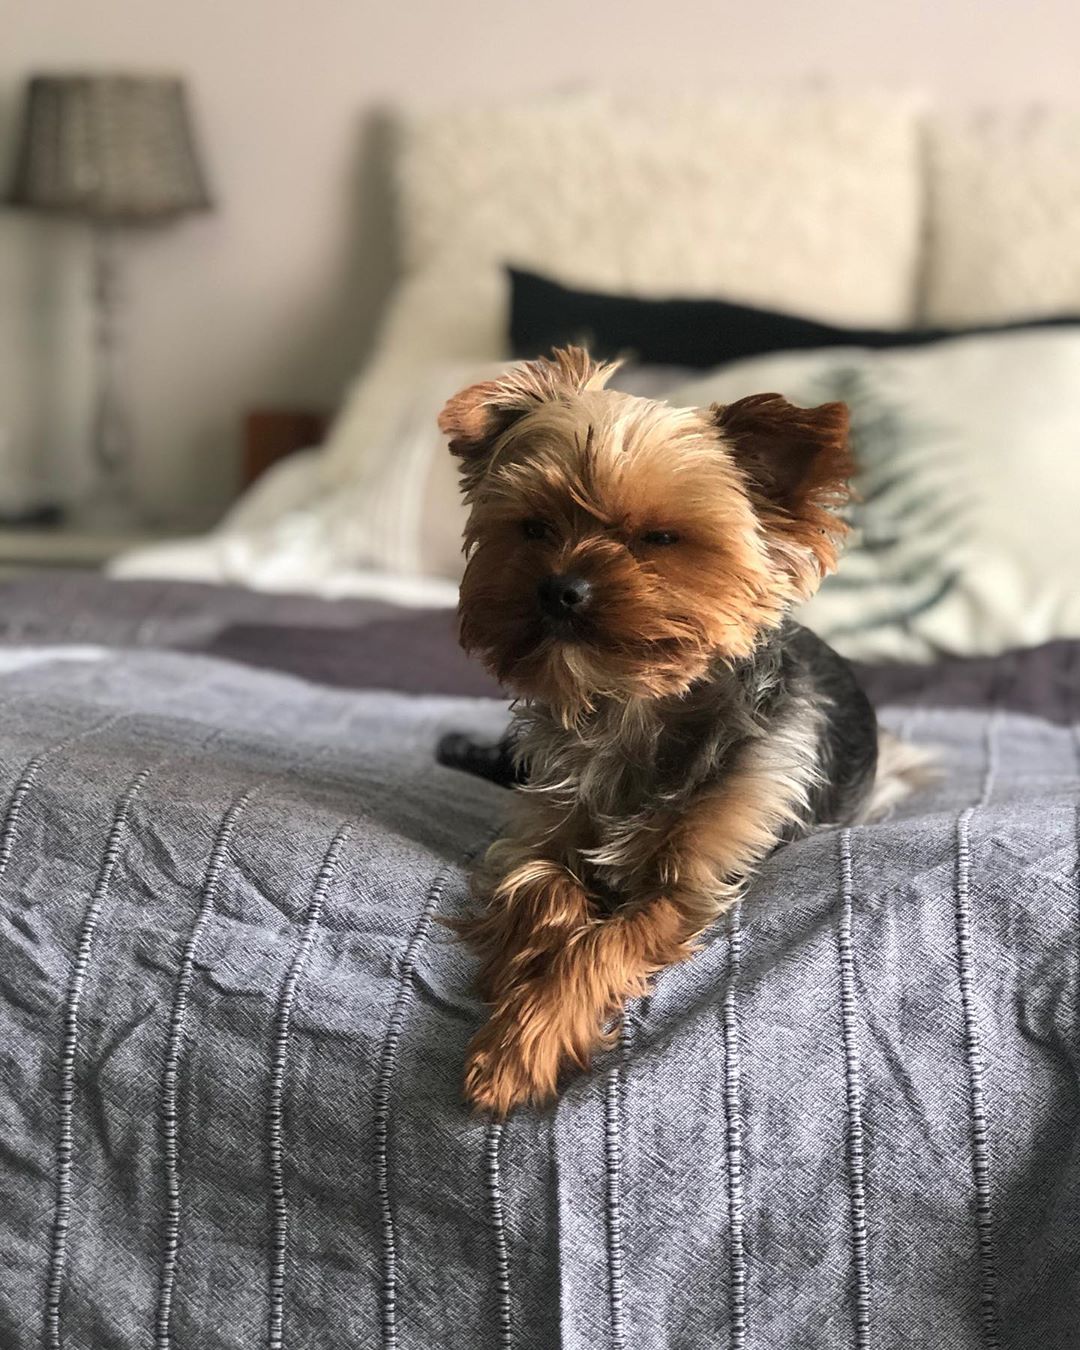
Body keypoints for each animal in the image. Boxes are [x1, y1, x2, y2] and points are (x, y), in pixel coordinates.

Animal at [437, 348, 912, 1117]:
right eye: (534, 527)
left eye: (660, 539)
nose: (559, 589)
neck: (631, 707)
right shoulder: (535, 835)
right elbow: (544, 887)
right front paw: (519, 970)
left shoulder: (691, 882)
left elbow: (604, 945)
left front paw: (522, 1044)